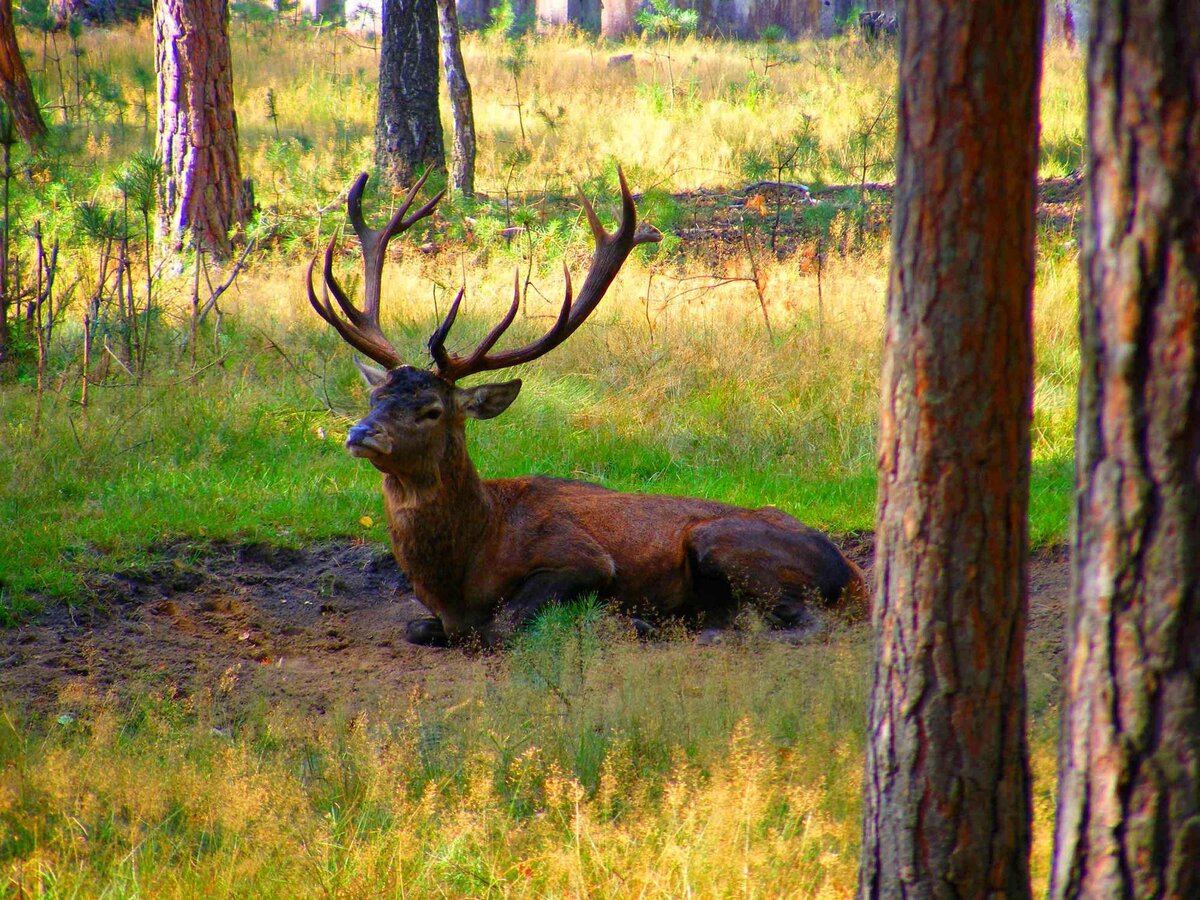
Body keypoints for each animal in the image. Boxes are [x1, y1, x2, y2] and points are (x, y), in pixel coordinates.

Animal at [304, 169, 868, 648]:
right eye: (375, 397)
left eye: (431, 410)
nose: (361, 433)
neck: (463, 565)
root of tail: (854, 574)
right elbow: (421, 628)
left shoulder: (581, 557)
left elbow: (501, 625)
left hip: (719, 539)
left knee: (805, 622)